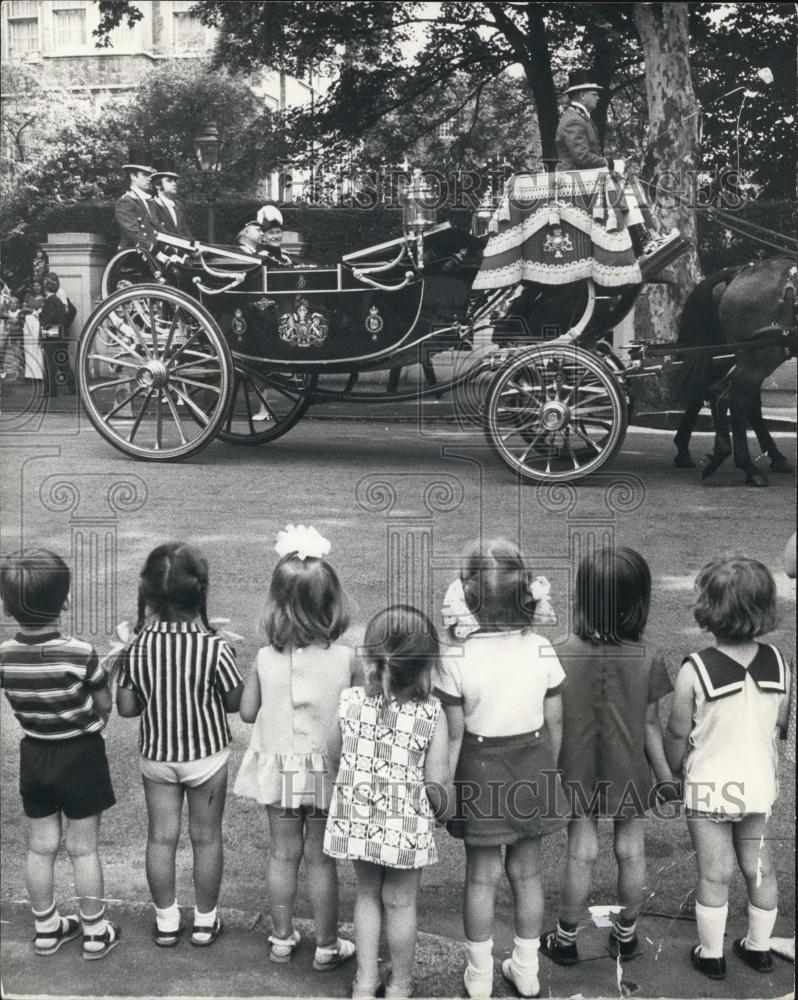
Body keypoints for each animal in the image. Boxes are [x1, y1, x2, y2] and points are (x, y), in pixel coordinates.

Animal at [672, 258, 796, 488]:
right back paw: (748, 467)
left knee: (712, 392)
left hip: (731, 354)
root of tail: (740, 271)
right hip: (760, 355)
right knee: (734, 399)